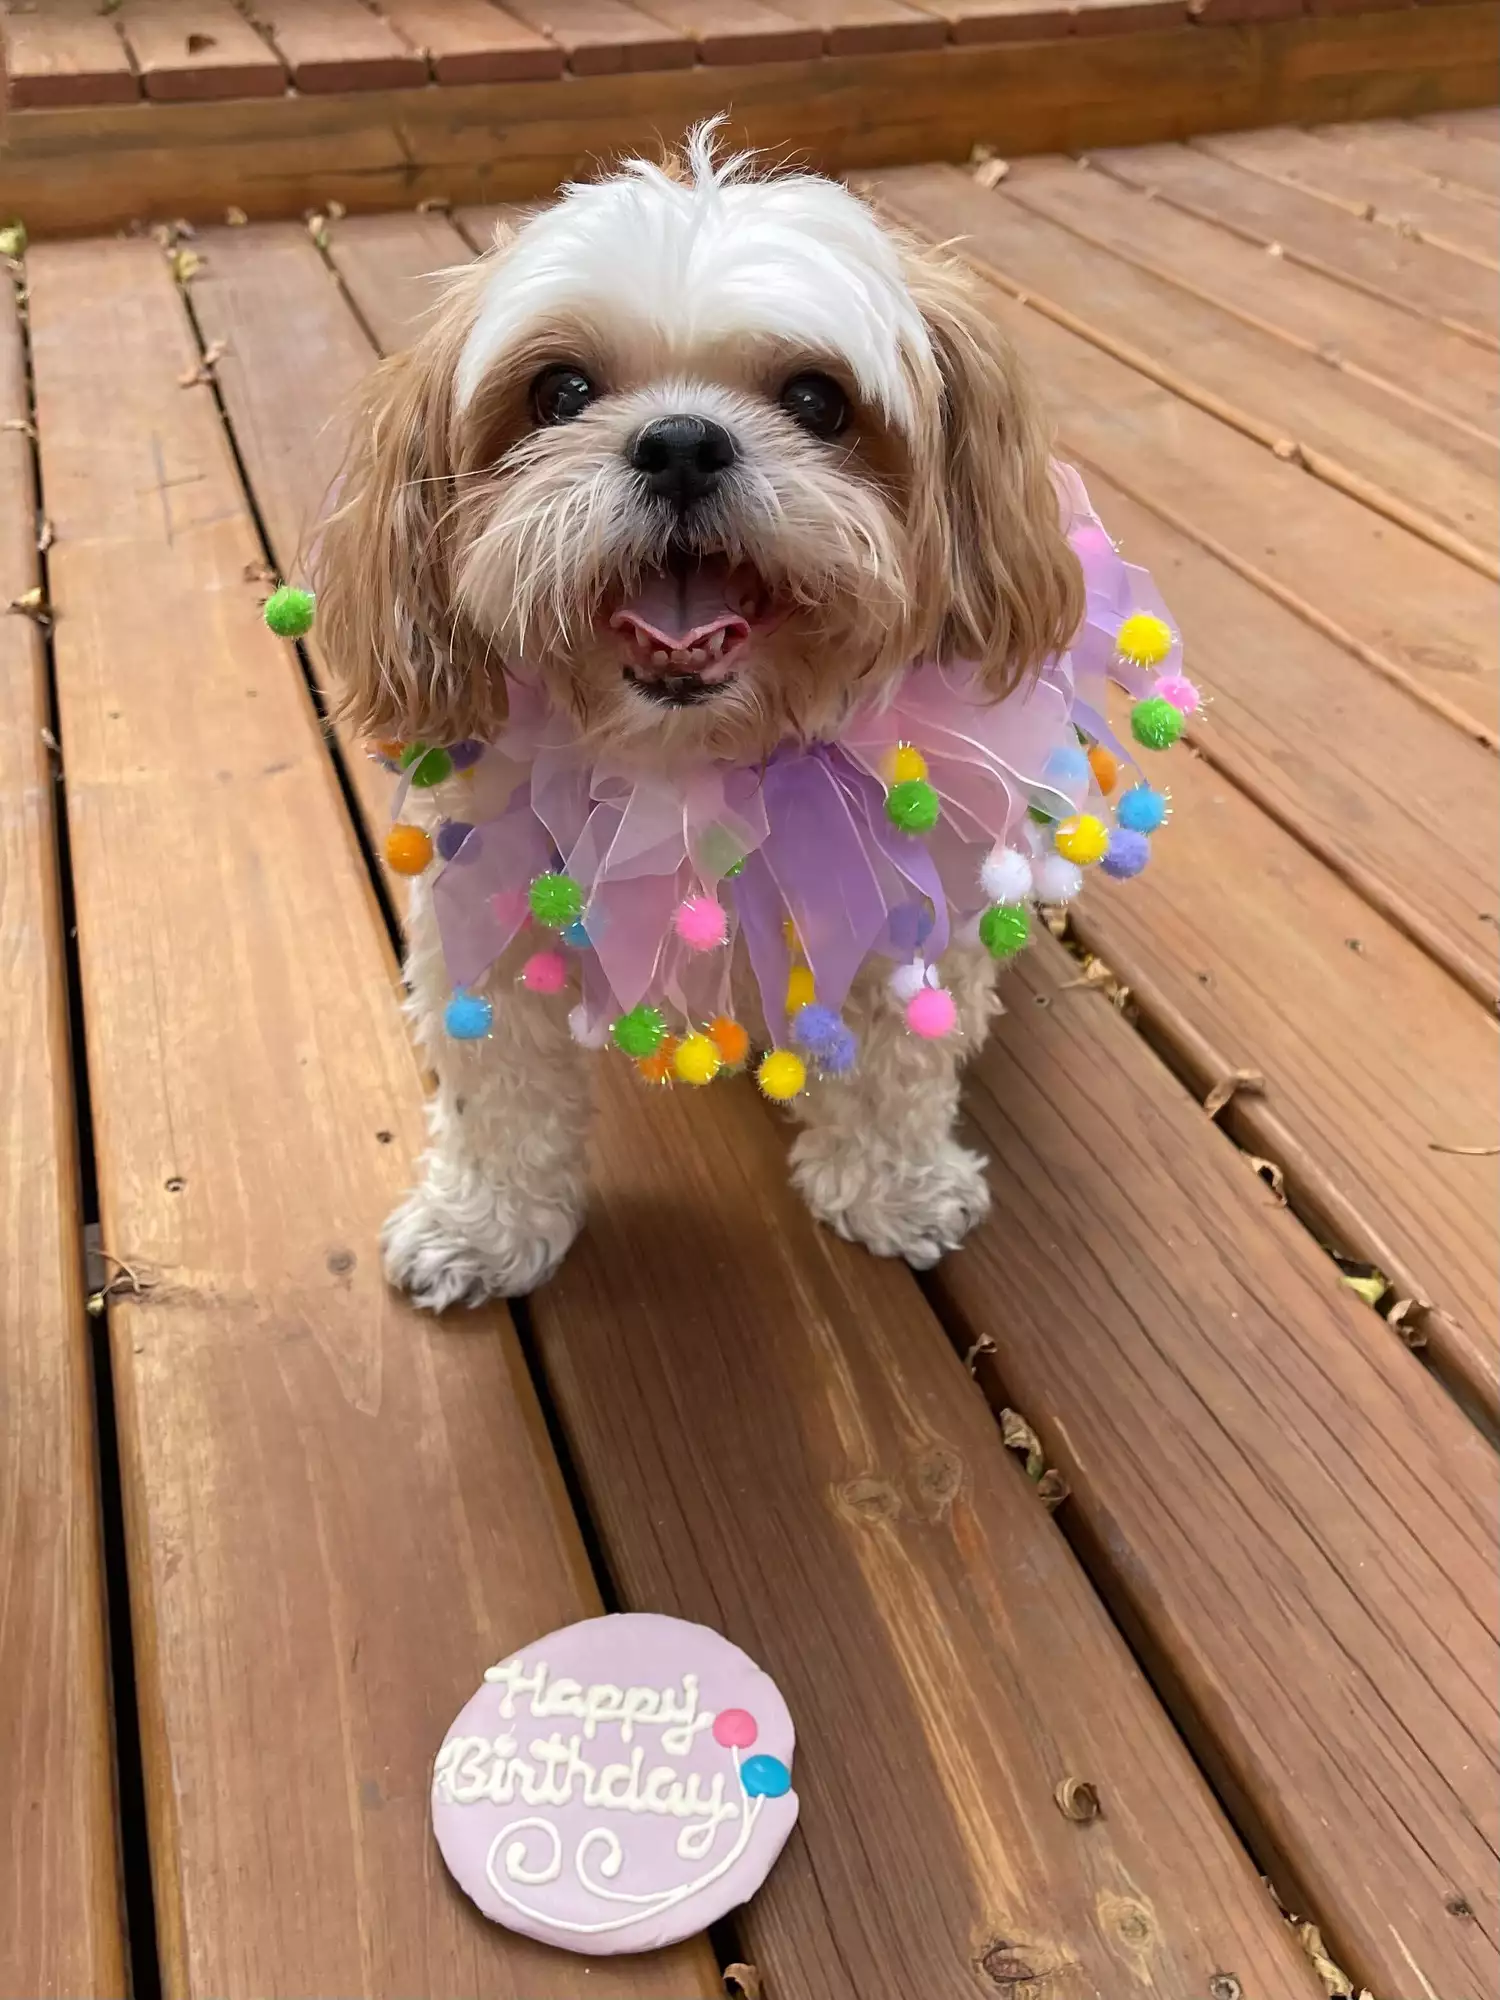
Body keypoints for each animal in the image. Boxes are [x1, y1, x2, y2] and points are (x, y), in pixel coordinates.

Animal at [320, 129, 1096, 1312]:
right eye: (560, 390)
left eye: (819, 400)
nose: (681, 441)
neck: (690, 768)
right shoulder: (486, 921)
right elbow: (497, 1095)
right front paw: (482, 1224)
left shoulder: (902, 914)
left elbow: (897, 1068)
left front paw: (896, 1187)